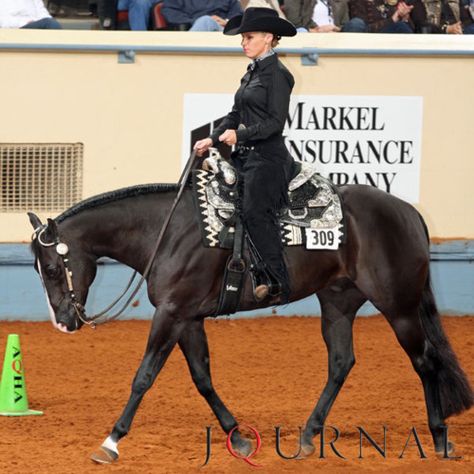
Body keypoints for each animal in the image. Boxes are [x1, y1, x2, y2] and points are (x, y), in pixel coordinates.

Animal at [27, 181, 472, 462]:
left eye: (50, 268)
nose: (64, 322)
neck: (166, 233)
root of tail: (408, 211)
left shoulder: (171, 313)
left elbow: (144, 376)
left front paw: (112, 440)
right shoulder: (187, 318)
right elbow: (202, 378)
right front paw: (237, 437)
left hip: (399, 306)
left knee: (425, 362)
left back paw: (439, 438)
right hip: (338, 303)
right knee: (341, 363)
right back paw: (308, 436)